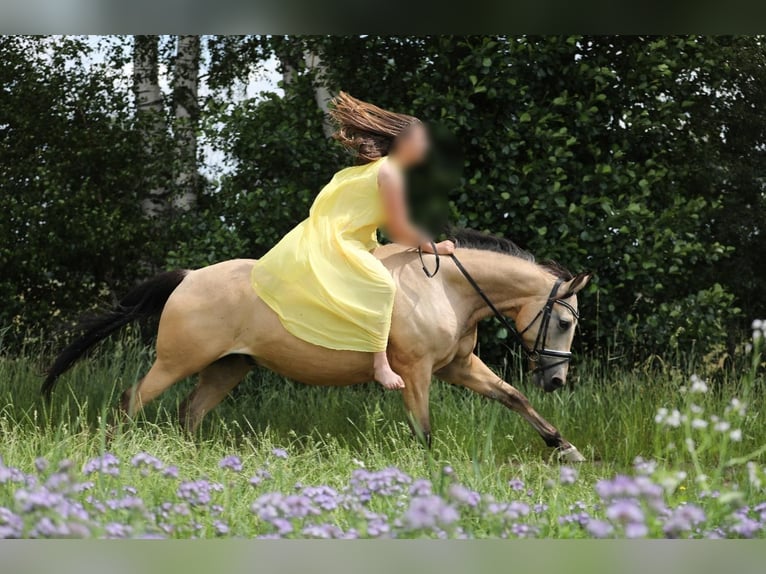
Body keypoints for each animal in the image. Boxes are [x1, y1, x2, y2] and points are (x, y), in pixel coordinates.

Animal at [42, 230, 592, 464]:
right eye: (564, 321)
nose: (557, 379)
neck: (444, 289)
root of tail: (190, 276)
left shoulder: (458, 366)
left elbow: (512, 397)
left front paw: (565, 446)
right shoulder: (417, 372)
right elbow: (425, 430)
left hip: (228, 368)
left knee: (189, 412)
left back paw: (192, 462)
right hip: (178, 361)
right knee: (131, 400)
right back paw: (114, 454)